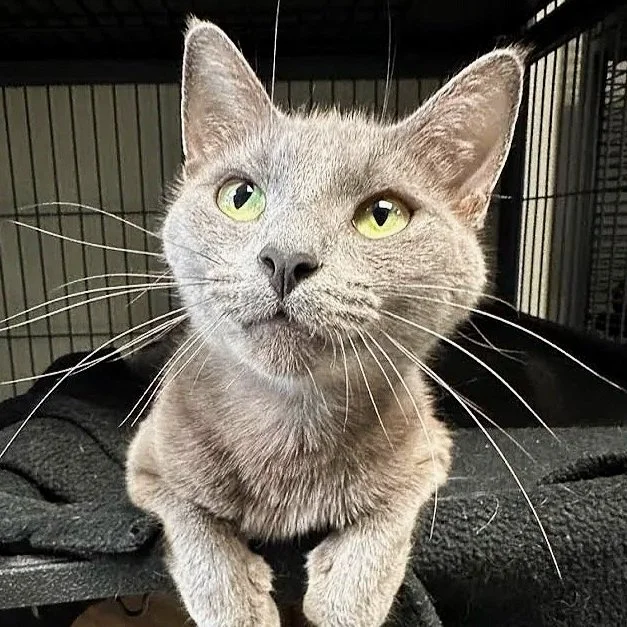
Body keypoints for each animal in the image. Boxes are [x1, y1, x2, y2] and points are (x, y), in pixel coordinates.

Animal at [125, 17, 524, 627]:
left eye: (383, 215)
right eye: (240, 196)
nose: (286, 258)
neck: (288, 423)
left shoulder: (429, 447)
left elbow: (391, 510)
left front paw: (347, 597)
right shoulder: (147, 458)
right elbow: (190, 514)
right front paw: (236, 601)